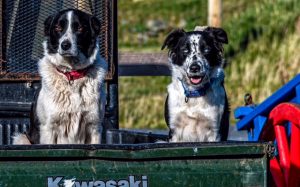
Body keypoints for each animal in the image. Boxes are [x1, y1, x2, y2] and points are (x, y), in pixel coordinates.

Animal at [14, 8, 108, 145]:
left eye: (80, 28)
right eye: (58, 27)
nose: (65, 45)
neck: (71, 74)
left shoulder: (94, 126)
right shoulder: (48, 129)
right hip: (21, 138)